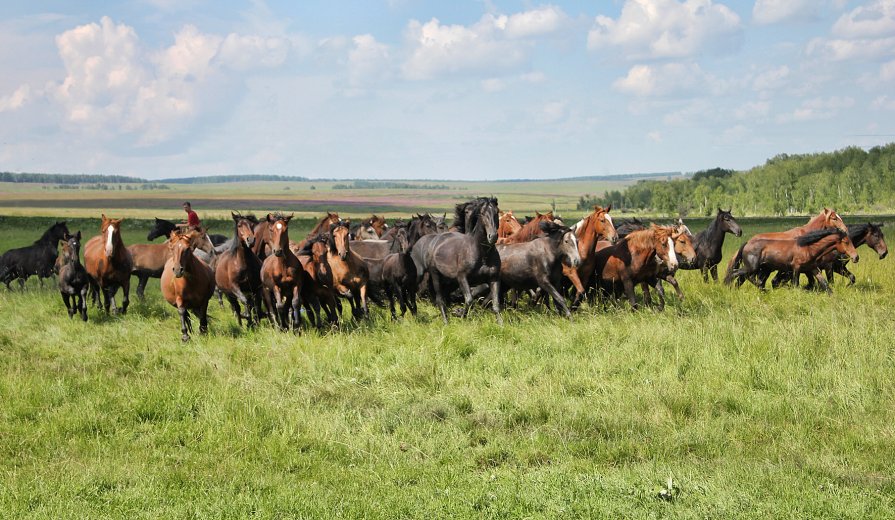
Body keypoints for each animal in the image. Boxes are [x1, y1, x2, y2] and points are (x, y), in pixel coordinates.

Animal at [724, 228, 856, 292]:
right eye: (846, 242)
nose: (856, 257)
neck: (808, 247)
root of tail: (747, 243)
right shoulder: (796, 268)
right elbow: (796, 285)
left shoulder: (813, 268)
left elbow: (825, 285)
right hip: (752, 267)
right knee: (735, 273)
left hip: (758, 268)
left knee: (749, 277)